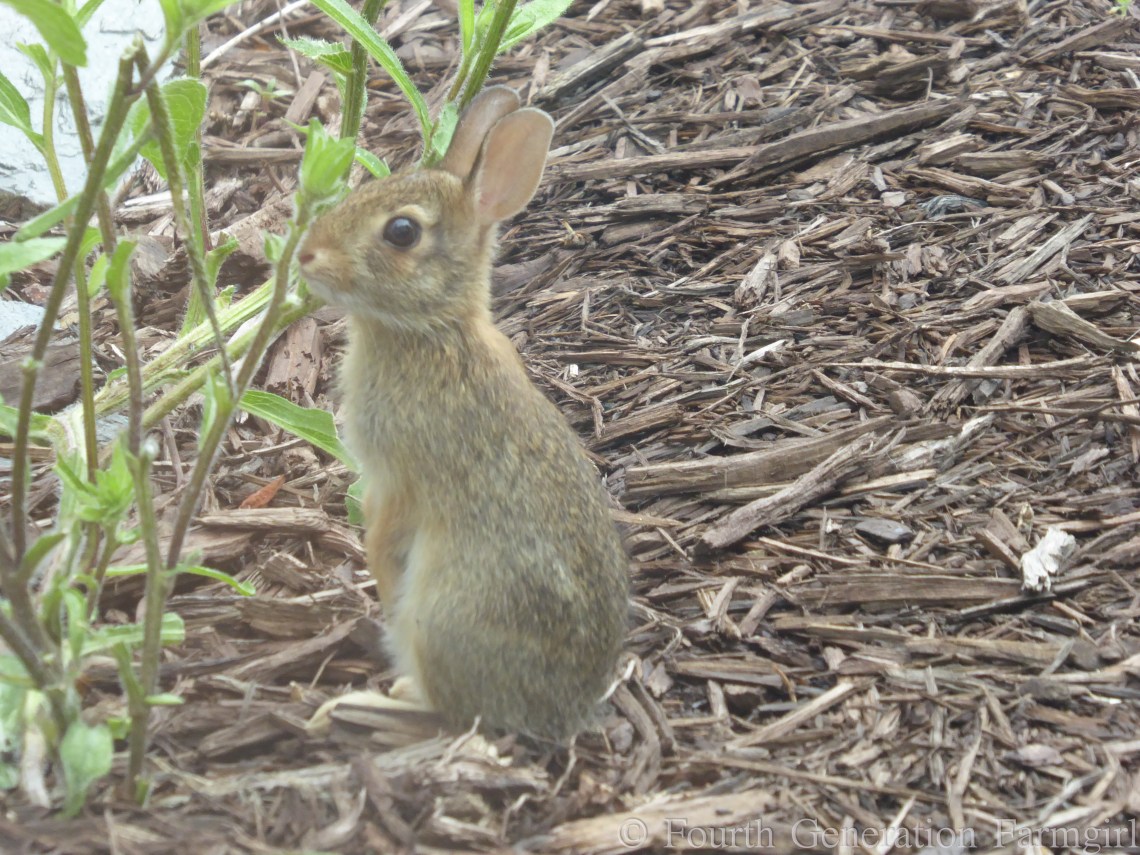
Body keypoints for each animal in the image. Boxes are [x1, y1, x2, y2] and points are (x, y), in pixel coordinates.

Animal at [298, 86, 629, 740]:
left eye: (402, 232)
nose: (306, 254)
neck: (431, 330)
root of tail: (565, 711)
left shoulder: (400, 478)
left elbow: (384, 531)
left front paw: (378, 577)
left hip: (440, 621)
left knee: (450, 714)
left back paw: (354, 706)